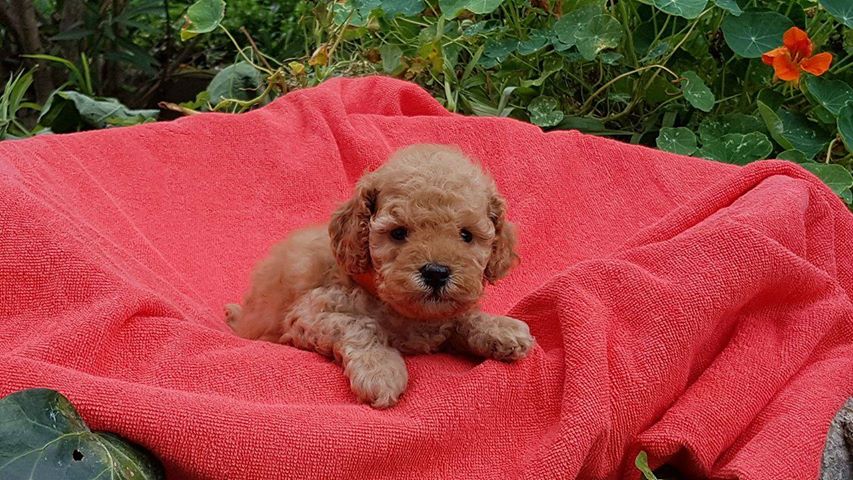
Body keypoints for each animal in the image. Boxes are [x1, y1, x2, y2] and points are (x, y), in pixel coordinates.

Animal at [226, 143, 532, 408]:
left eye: (466, 235)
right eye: (398, 233)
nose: (436, 273)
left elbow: (463, 316)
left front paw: (501, 329)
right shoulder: (308, 313)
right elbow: (361, 324)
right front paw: (381, 371)